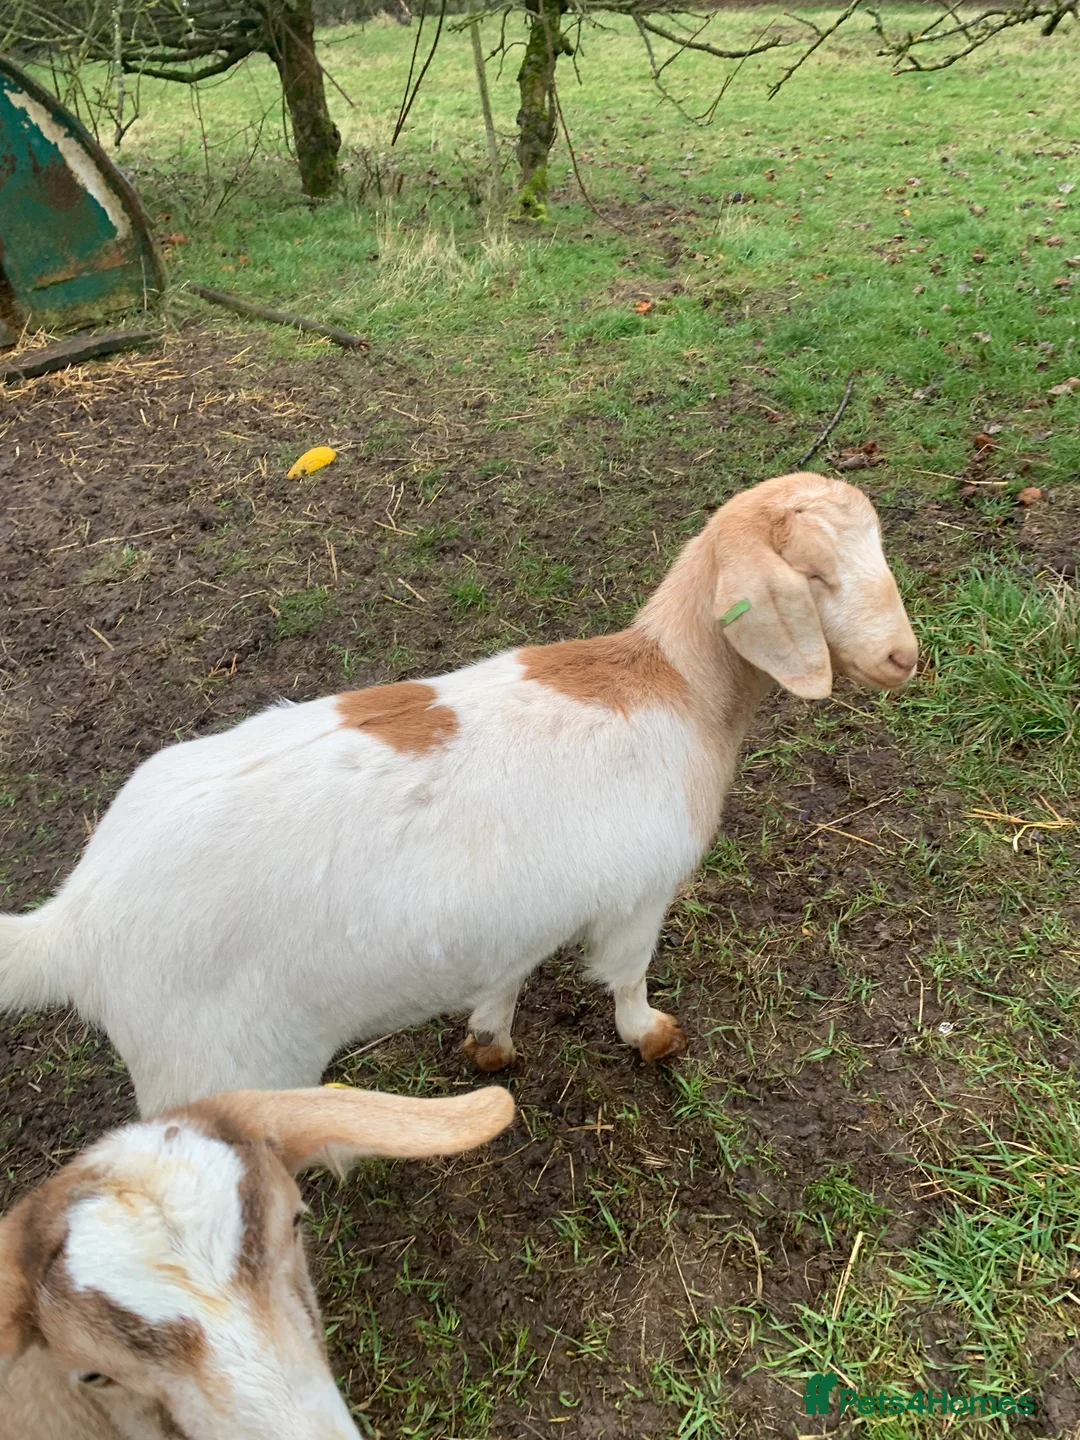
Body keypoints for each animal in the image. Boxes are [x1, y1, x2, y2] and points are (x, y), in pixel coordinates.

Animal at [0, 472, 917, 1114]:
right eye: (815, 575)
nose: (905, 658)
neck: (678, 687)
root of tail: (77, 920)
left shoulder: (517, 917)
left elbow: (503, 981)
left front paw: (490, 1045)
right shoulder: (637, 894)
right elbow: (626, 977)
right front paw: (654, 1038)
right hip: (212, 1067)